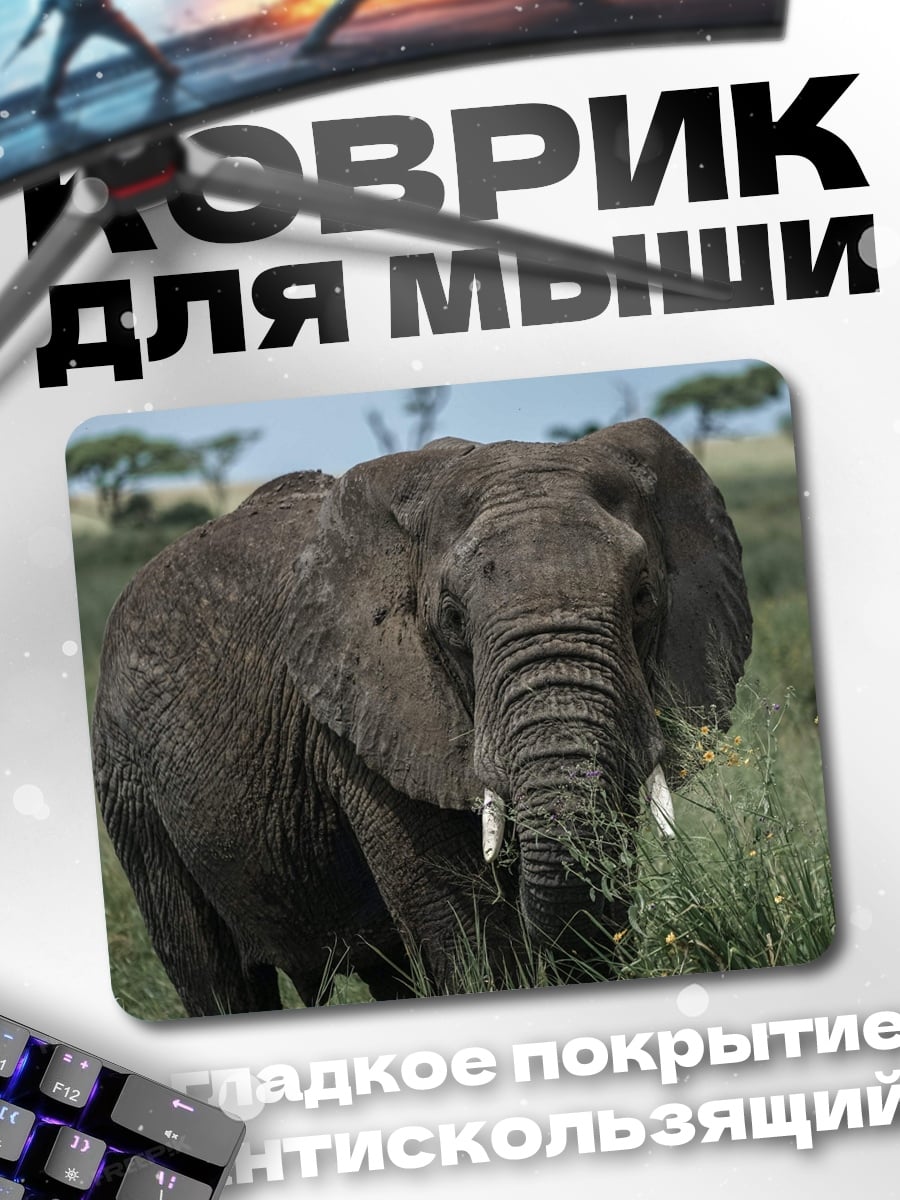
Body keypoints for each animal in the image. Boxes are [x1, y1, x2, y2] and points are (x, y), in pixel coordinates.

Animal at [91, 418, 751, 1016]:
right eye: (453, 619)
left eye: (643, 597)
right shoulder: (364, 721)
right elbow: (466, 926)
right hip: (128, 783)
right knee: (213, 973)